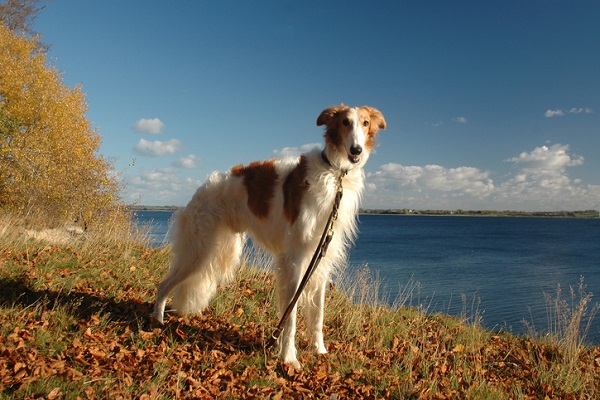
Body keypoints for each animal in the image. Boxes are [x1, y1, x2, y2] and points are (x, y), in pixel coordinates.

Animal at [154, 104, 390, 368]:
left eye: (366, 123)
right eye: (345, 122)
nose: (356, 150)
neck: (334, 173)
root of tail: (200, 190)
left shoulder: (320, 258)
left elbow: (318, 315)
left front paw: (319, 351)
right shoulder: (295, 260)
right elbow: (291, 316)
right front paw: (289, 358)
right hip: (198, 250)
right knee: (163, 285)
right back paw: (157, 321)